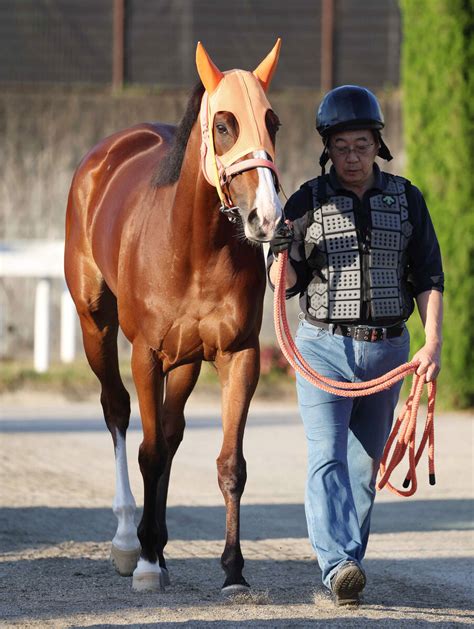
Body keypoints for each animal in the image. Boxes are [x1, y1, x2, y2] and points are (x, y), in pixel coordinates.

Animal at [65, 40, 284, 592]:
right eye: (224, 124)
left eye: (272, 122)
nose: (268, 218)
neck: (195, 250)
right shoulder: (146, 353)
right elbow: (148, 450)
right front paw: (145, 561)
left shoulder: (238, 355)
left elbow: (229, 463)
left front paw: (233, 571)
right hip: (96, 323)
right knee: (119, 412)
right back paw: (131, 541)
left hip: (185, 360)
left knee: (169, 431)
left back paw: (158, 545)